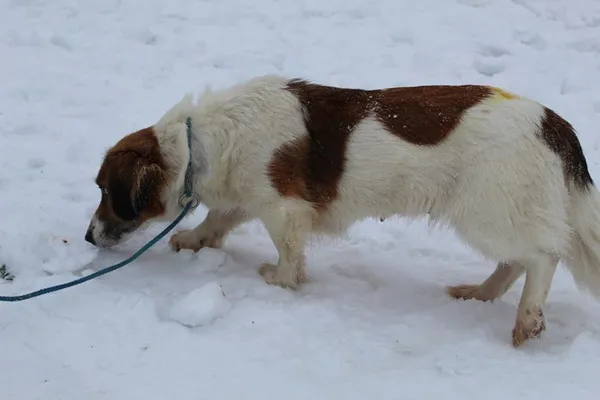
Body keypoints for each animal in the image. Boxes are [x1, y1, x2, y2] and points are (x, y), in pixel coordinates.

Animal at [84, 75, 600, 346]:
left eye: (106, 190)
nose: (88, 237)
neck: (205, 142)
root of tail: (554, 122)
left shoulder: (283, 208)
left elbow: (289, 258)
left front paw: (278, 281)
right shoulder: (252, 196)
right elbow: (219, 219)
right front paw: (194, 240)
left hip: (486, 213)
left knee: (542, 257)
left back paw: (527, 318)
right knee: (517, 261)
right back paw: (481, 293)